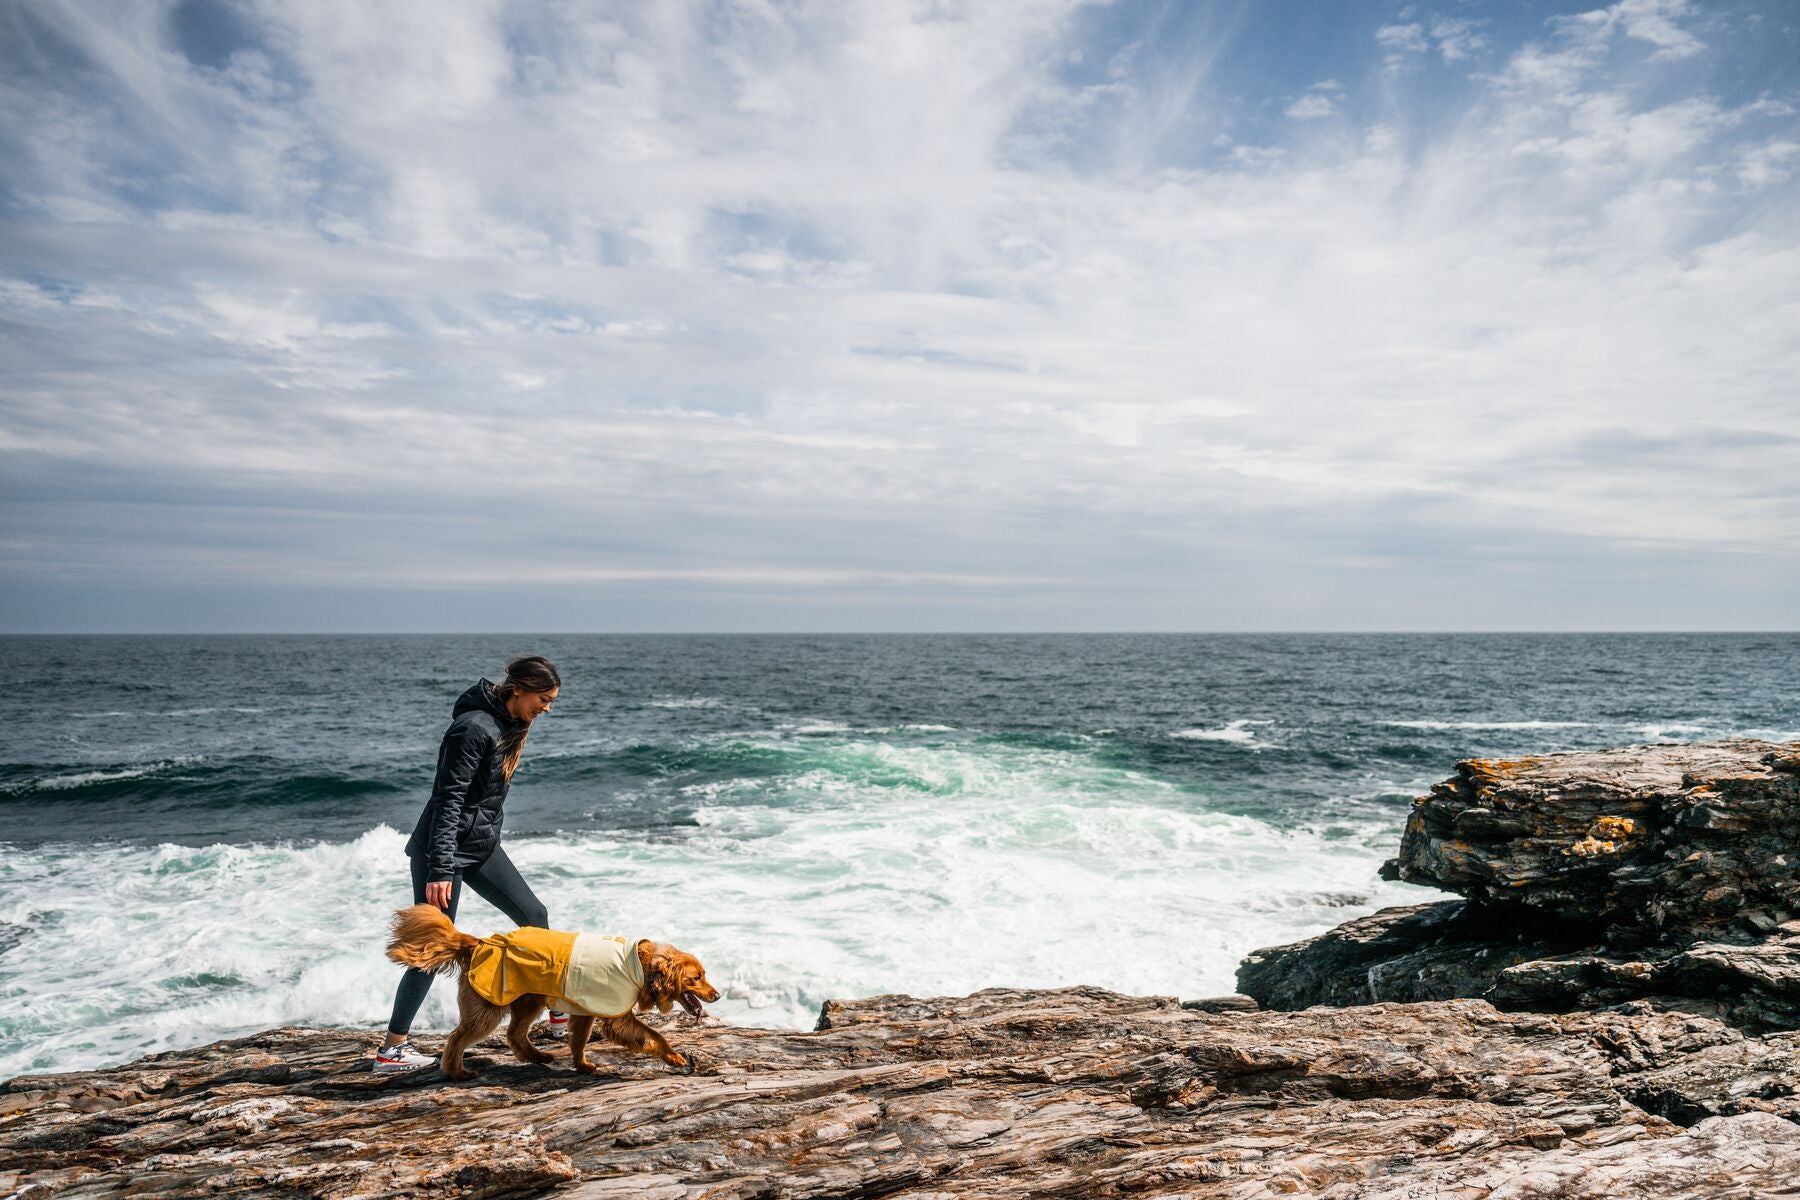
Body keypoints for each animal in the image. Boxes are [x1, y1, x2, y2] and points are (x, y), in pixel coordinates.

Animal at [385, 906, 716, 1086]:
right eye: (697, 978)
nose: (717, 995)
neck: (643, 967)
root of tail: (479, 942)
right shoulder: (615, 1015)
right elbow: (653, 1035)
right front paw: (673, 1056)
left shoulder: (584, 1009)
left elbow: (579, 1039)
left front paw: (582, 1065)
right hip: (490, 1006)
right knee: (457, 1038)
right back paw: (456, 1071)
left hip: (527, 999)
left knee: (515, 1034)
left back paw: (536, 1056)